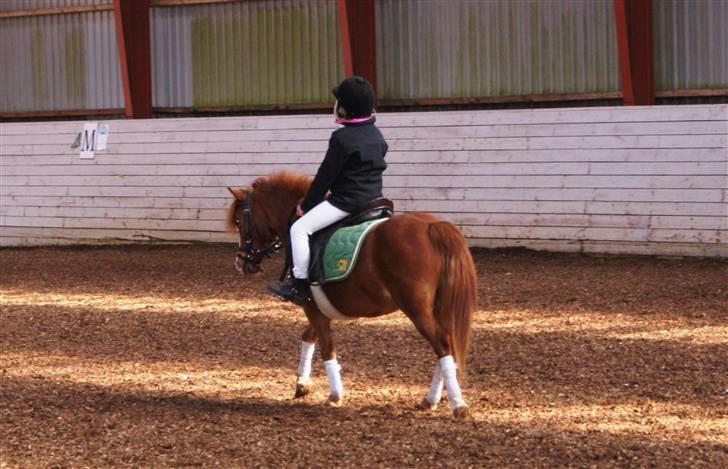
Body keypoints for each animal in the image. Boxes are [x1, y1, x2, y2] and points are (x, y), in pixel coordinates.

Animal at [228, 172, 478, 416]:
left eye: (240, 221)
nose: (240, 263)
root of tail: (432, 226)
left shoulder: (311, 307)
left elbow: (327, 348)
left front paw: (335, 395)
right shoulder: (319, 308)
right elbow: (309, 337)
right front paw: (302, 384)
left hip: (416, 308)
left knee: (442, 344)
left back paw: (457, 405)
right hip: (438, 306)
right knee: (447, 344)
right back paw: (431, 400)